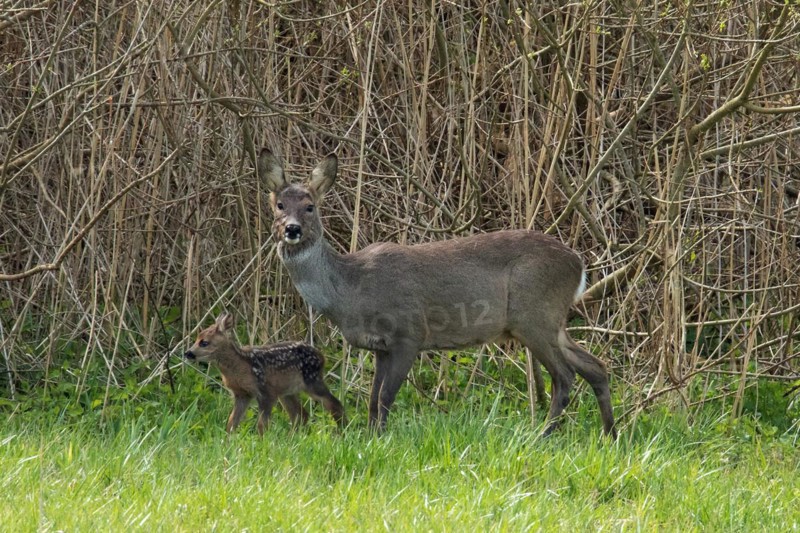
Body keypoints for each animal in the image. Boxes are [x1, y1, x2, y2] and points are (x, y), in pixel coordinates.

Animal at [183, 313, 347, 434]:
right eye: (196, 339)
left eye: (204, 342)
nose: (188, 353)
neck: (241, 366)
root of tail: (322, 356)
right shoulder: (242, 394)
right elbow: (231, 422)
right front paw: (228, 442)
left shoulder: (265, 391)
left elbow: (262, 425)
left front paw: (262, 443)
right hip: (287, 392)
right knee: (300, 415)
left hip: (311, 381)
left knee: (335, 404)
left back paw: (341, 433)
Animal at [258, 149, 616, 438]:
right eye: (279, 205)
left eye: (310, 207)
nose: (292, 229)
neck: (350, 291)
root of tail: (579, 264)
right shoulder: (380, 347)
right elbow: (373, 401)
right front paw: (371, 437)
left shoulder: (409, 332)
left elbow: (385, 398)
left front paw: (380, 439)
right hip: (552, 321)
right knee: (595, 367)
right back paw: (609, 435)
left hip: (534, 315)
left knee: (565, 375)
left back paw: (542, 436)